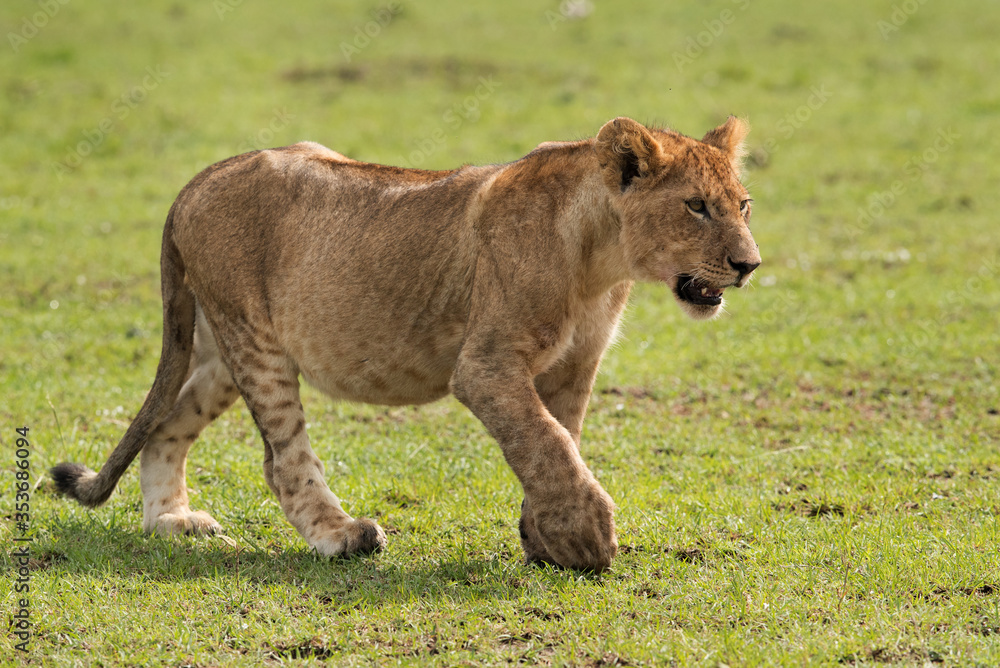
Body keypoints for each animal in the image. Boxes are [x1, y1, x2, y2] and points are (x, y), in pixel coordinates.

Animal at [52, 116, 760, 572]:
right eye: (696, 206)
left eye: (744, 205)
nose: (749, 265)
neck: (601, 260)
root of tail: (197, 180)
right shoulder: (485, 365)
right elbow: (547, 442)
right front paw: (587, 536)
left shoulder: (573, 366)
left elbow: (559, 440)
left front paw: (543, 538)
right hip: (253, 339)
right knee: (281, 461)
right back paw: (343, 537)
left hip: (223, 349)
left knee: (166, 422)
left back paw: (171, 521)